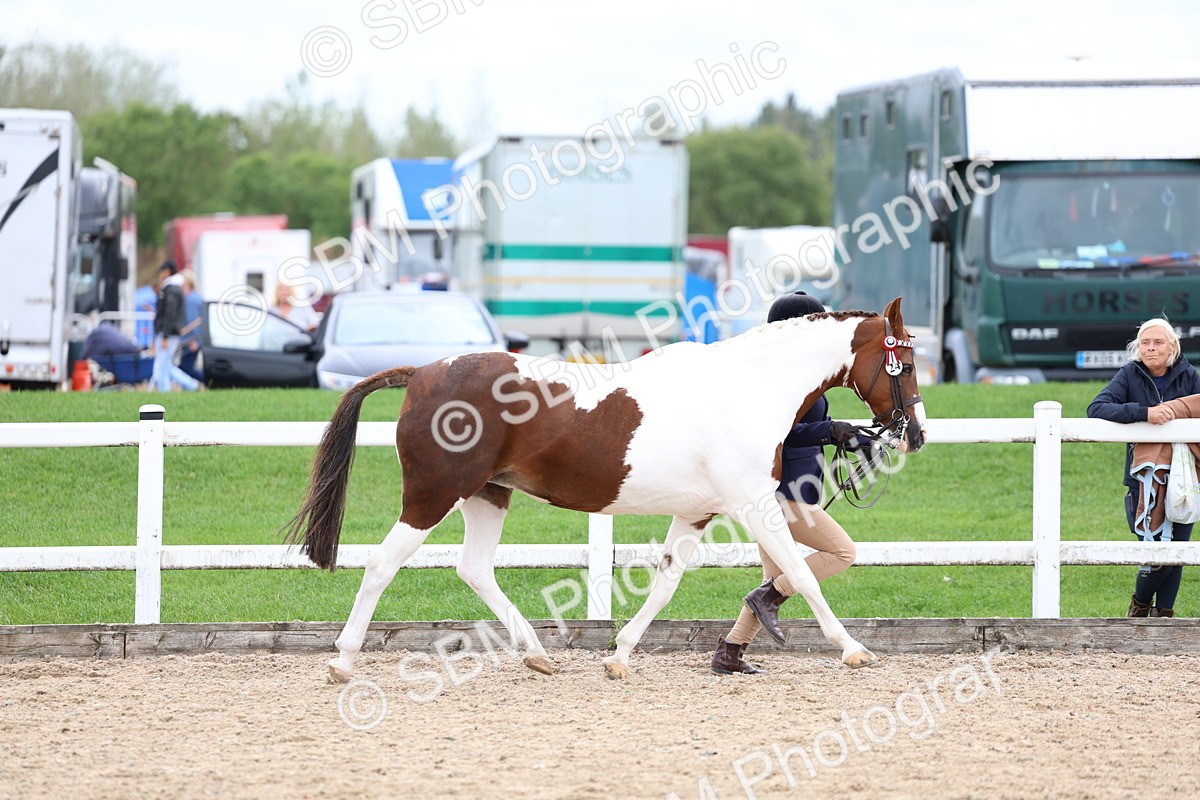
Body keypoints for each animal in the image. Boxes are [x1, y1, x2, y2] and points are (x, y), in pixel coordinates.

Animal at [285, 297, 927, 683]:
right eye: (904, 361)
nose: (915, 433)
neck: (746, 386)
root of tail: (422, 372)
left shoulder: (697, 514)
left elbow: (666, 584)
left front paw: (619, 656)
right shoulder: (754, 504)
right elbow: (799, 574)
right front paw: (852, 648)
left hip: (488, 494)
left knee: (474, 569)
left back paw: (537, 655)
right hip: (432, 495)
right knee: (381, 564)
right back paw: (343, 661)